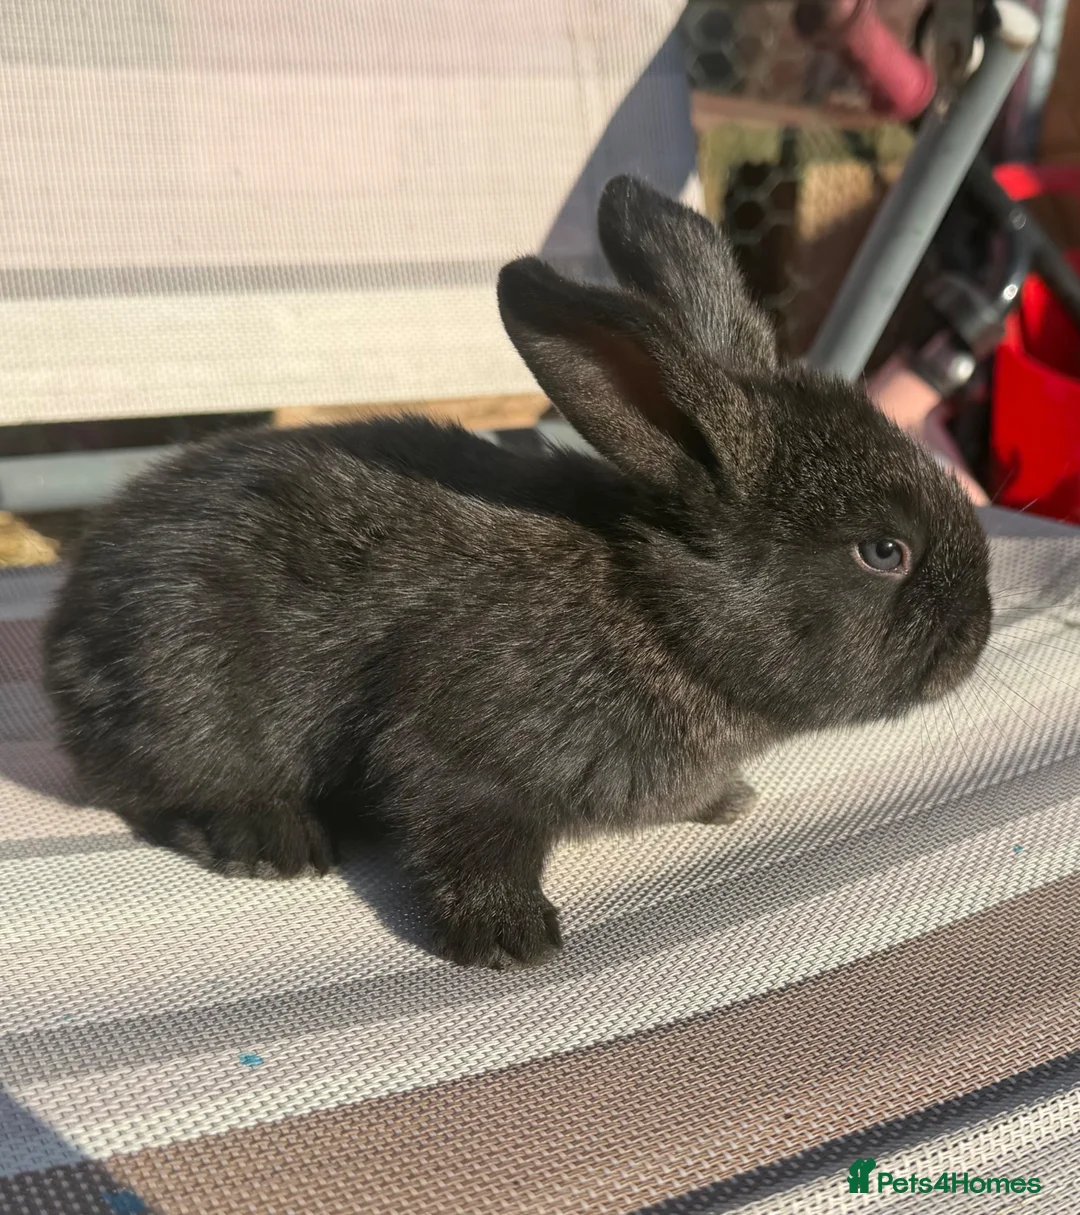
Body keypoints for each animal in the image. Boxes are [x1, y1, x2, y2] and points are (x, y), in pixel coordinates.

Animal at [44, 176, 992, 969]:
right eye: (884, 550)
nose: (978, 634)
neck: (657, 617)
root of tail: (67, 630)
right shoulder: (460, 754)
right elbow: (466, 839)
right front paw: (510, 940)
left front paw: (724, 799)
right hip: (189, 691)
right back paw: (272, 839)